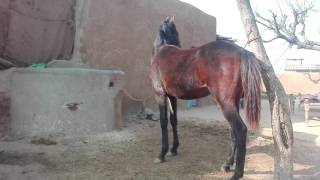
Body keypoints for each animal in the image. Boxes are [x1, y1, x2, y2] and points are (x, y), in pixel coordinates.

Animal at [150, 16, 262, 179]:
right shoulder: (172, 97)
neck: (162, 51)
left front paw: (161, 154)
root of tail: (241, 51)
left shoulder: (160, 94)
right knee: (232, 131)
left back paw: (237, 173)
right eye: (175, 33)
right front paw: (174, 149)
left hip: (224, 103)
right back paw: (227, 165)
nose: (179, 45)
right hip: (232, 103)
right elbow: (173, 120)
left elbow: (163, 122)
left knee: (240, 130)